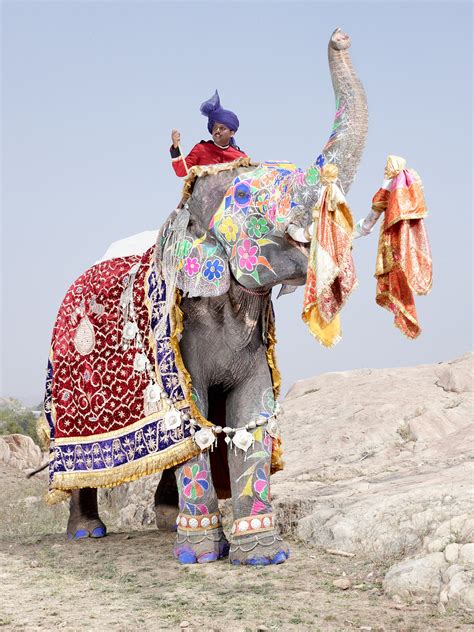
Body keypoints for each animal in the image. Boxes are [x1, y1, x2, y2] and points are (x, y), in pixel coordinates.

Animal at [41, 28, 366, 568]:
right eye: (247, 198)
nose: (340, 36)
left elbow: (250, 413)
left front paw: (262, 556)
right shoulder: (175, 338)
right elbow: (190, 418)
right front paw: (200, 555)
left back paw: (164, 521)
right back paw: (88, 532)